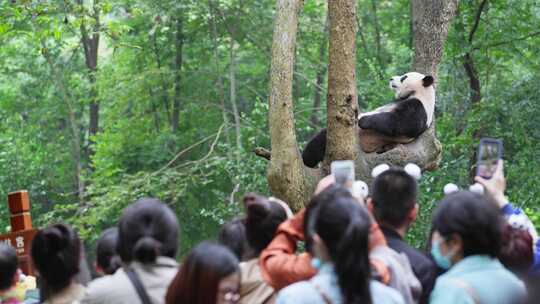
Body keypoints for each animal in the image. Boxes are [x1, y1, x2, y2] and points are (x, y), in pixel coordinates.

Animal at [302, 72, 436, 169]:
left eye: (404, 77)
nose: (391, 79)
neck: (422, 94)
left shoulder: (419, 108)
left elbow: (401, 123)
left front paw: (363, 120)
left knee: (319, 141)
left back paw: (307, 160)